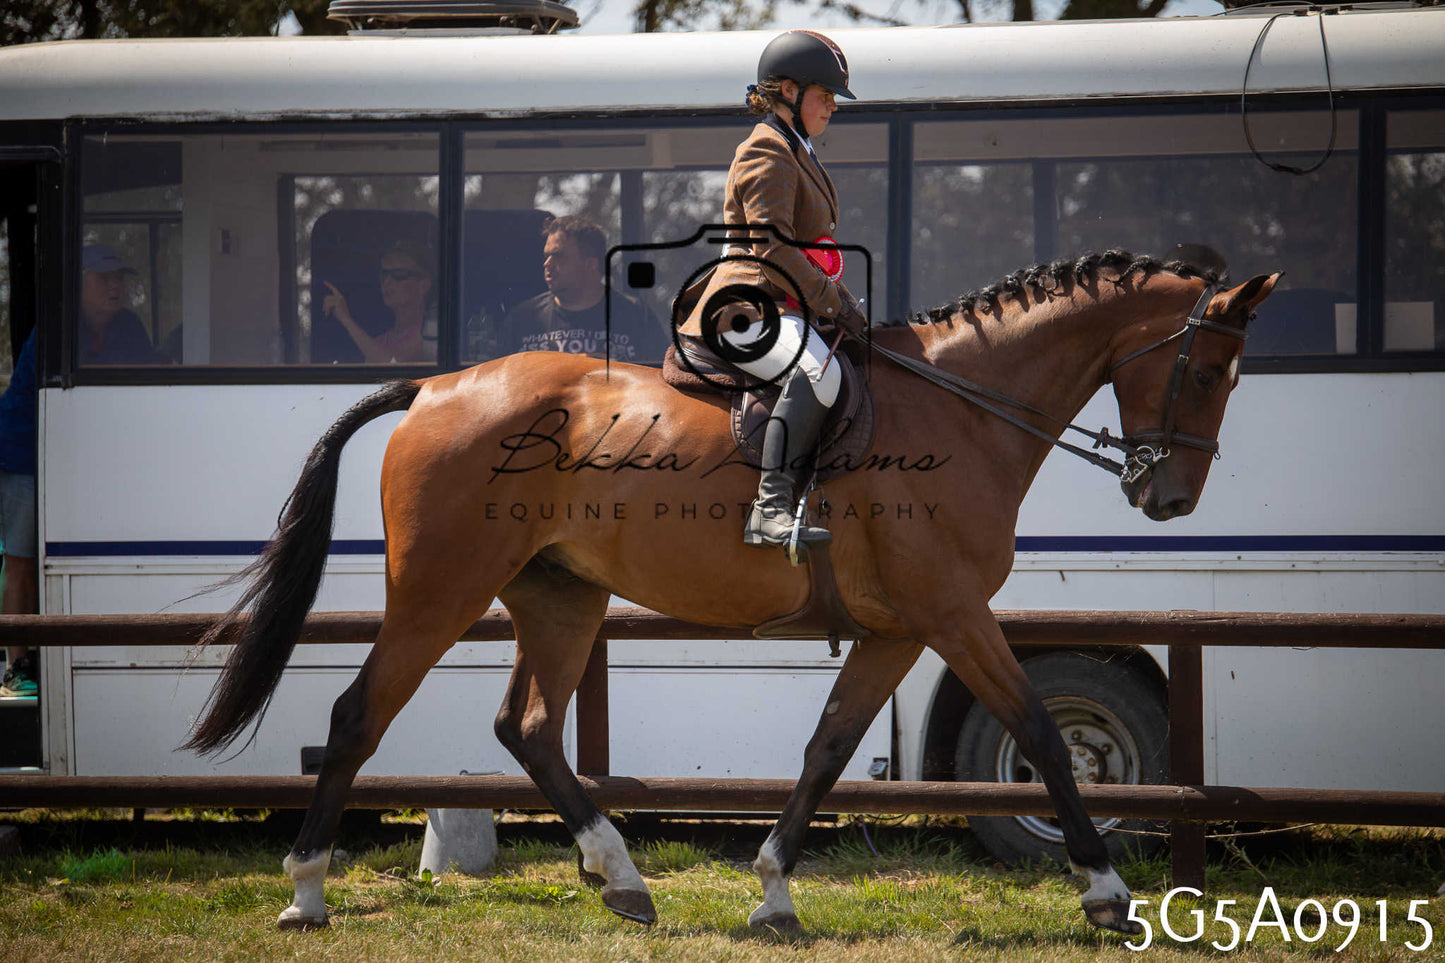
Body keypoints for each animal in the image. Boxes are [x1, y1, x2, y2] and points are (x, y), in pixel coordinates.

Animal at [183, 250, 1278, 936]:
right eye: (1208, 371)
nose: (1167, 497)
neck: (965, 408)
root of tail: (439, 386)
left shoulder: (897, 631)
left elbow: (828, 749)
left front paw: (773, 895)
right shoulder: (953, 615)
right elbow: (1045, 737)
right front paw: (1105, 891)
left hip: (559, 597)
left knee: (525, 727)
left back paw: (622, 880)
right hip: (440, 592)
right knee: (356, 715)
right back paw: (307, 893)